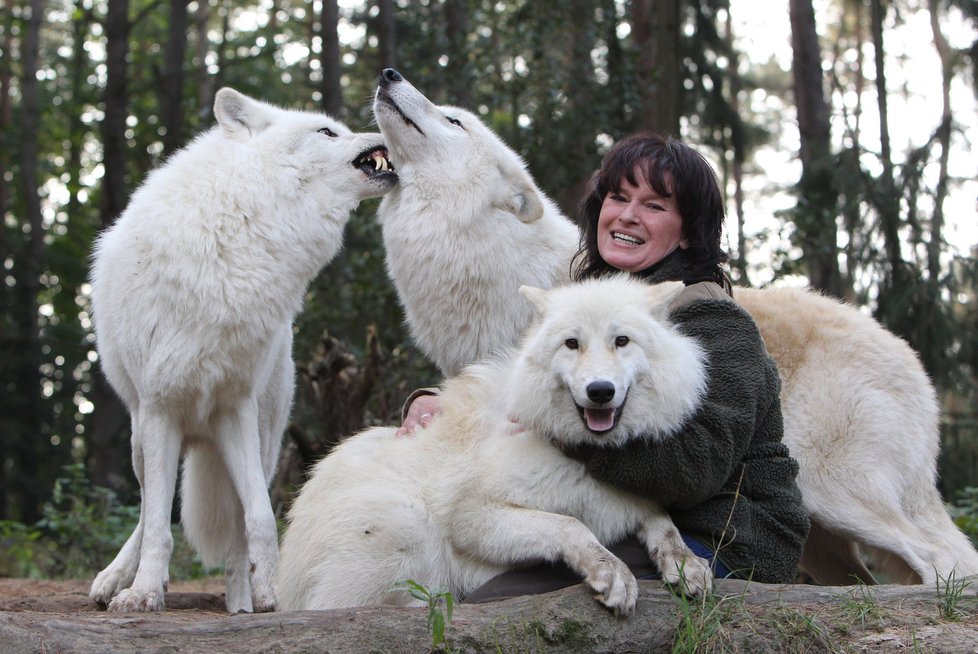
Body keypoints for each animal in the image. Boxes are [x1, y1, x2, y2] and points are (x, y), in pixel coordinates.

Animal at [88, 88, 396, 616]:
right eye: (326, 131)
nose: (380, 130)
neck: (240, 228)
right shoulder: (161, 410)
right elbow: (158, 526)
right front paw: (144, 592)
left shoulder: (234, 408)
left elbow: (261, 517)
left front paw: (270, 591)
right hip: (139, 438)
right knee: (148, 508)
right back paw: (115, 579)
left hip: (265, 435)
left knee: (235, 524)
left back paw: (241, 601)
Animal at [372, 69, 976, 588]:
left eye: (454, 121)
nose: (388, 75)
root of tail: (912, 359)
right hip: (826, 531)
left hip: (841, 494)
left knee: (945, 558)